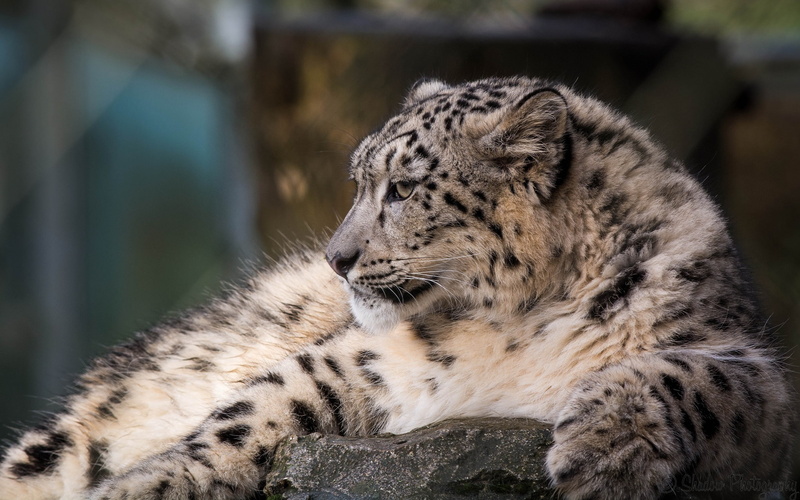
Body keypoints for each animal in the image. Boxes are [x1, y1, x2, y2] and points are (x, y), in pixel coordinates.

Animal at [0, 76, 794, 500]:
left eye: (405, 189)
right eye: (359, 181)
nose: (336, 257)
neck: (516, 329)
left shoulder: (750, 370)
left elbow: (683, 375)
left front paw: (603, 450)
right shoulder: (367, 359)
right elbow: (256, 409)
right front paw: (147, 482)